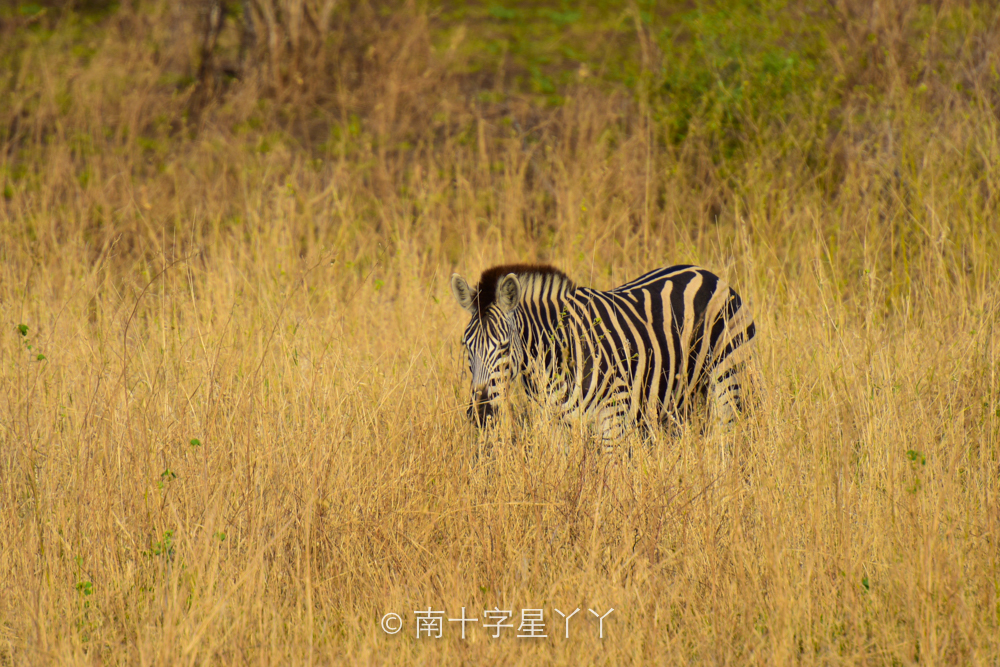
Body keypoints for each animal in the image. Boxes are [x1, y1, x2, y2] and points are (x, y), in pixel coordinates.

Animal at [450, 264, 752, 440]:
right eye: (466, 346)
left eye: (503, 347)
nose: (480, 412)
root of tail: (706, 273)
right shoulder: (558, 424)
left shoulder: (614, 417)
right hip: (677, 398)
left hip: (727, 378)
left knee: (724, 437)